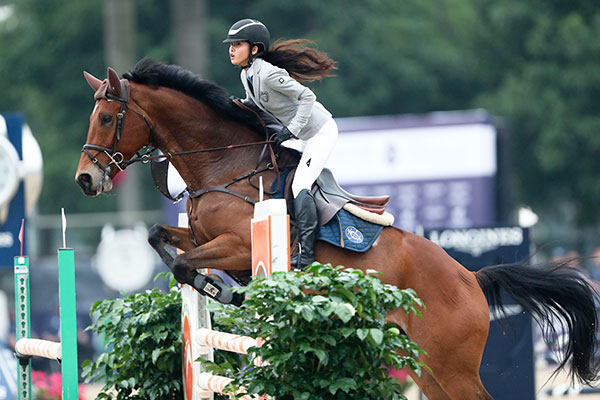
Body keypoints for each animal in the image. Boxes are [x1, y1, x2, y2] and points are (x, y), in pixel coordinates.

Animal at [76, 57, 600, 400]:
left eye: (107, 117)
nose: (85, 180)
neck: (225, 165)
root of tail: (471, 277)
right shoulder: (204, 237)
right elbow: (159, 238)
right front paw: (216, 289)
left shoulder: (239, 246)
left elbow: (187, 264)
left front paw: (224, 291)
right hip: (426, 367)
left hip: (450, 366)